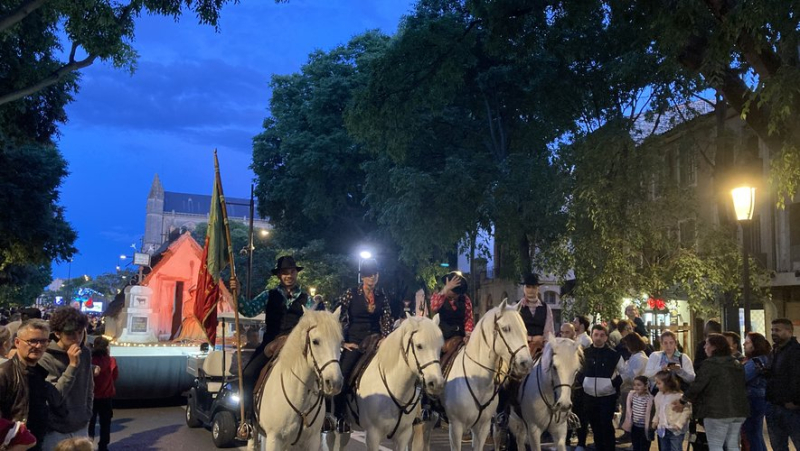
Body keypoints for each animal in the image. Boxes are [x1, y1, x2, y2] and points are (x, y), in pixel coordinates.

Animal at [438, 300, 532, 451]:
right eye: (506, 328)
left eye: (525, 331)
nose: (526, 363)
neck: (477, 381)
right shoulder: (456, 427)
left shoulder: (482, 428)